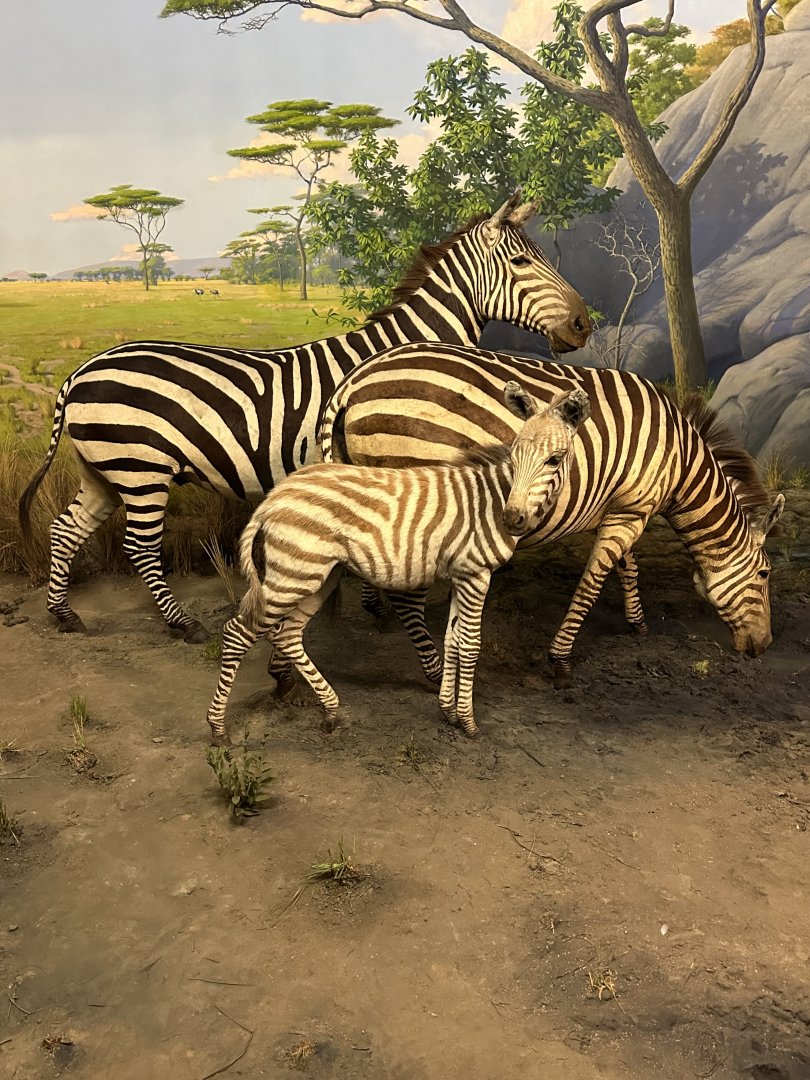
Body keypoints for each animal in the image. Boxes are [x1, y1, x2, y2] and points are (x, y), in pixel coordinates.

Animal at [18, 192, 591, 644]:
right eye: (521, 263)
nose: (584, 324)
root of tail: (79, 371)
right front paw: (377, 607)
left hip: (105, 470)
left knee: (65, 530)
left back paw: (63, 615)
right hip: (140, 469)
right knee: (139, 546)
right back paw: (181, 624)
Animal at [205, 383, 591, 745]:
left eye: (554, 459)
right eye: (515, 454)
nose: (512, 519)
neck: (492, 497)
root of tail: (271, 499)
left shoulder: (460, 574)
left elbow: (452, 639)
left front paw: (448, 711)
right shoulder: (475, 573)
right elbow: (469, 645)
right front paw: (468, 722)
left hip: (317, 575)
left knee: (287, 633)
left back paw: (330, 711)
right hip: (294, 576)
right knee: (237, 632)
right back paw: (218, 729)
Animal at [317, 342, 785, 687]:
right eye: (765, 574)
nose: (764, 647)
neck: (680, 459)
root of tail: (355, 378)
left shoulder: (622, 503)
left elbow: (627, 566)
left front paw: (636, 622)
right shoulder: (632, 510)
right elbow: (593, 580)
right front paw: (560, 659)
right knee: (406, 596)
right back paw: (433, 672)